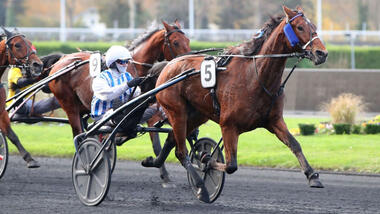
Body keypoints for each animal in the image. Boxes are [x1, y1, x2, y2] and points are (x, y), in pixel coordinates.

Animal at [142, 5, 330, 202]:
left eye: (314, 26)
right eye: (300, 27)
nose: (322, 53)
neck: (255, 77)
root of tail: (169, 64)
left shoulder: (274, 120)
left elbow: (295, 144)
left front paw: (312, 175)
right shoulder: (228, 125)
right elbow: (231, 165)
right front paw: (206, 160)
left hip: (196, 115)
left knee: (172, 140)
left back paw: (153, 161)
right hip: (176, 111)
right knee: (181, 152)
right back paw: (201, 186)